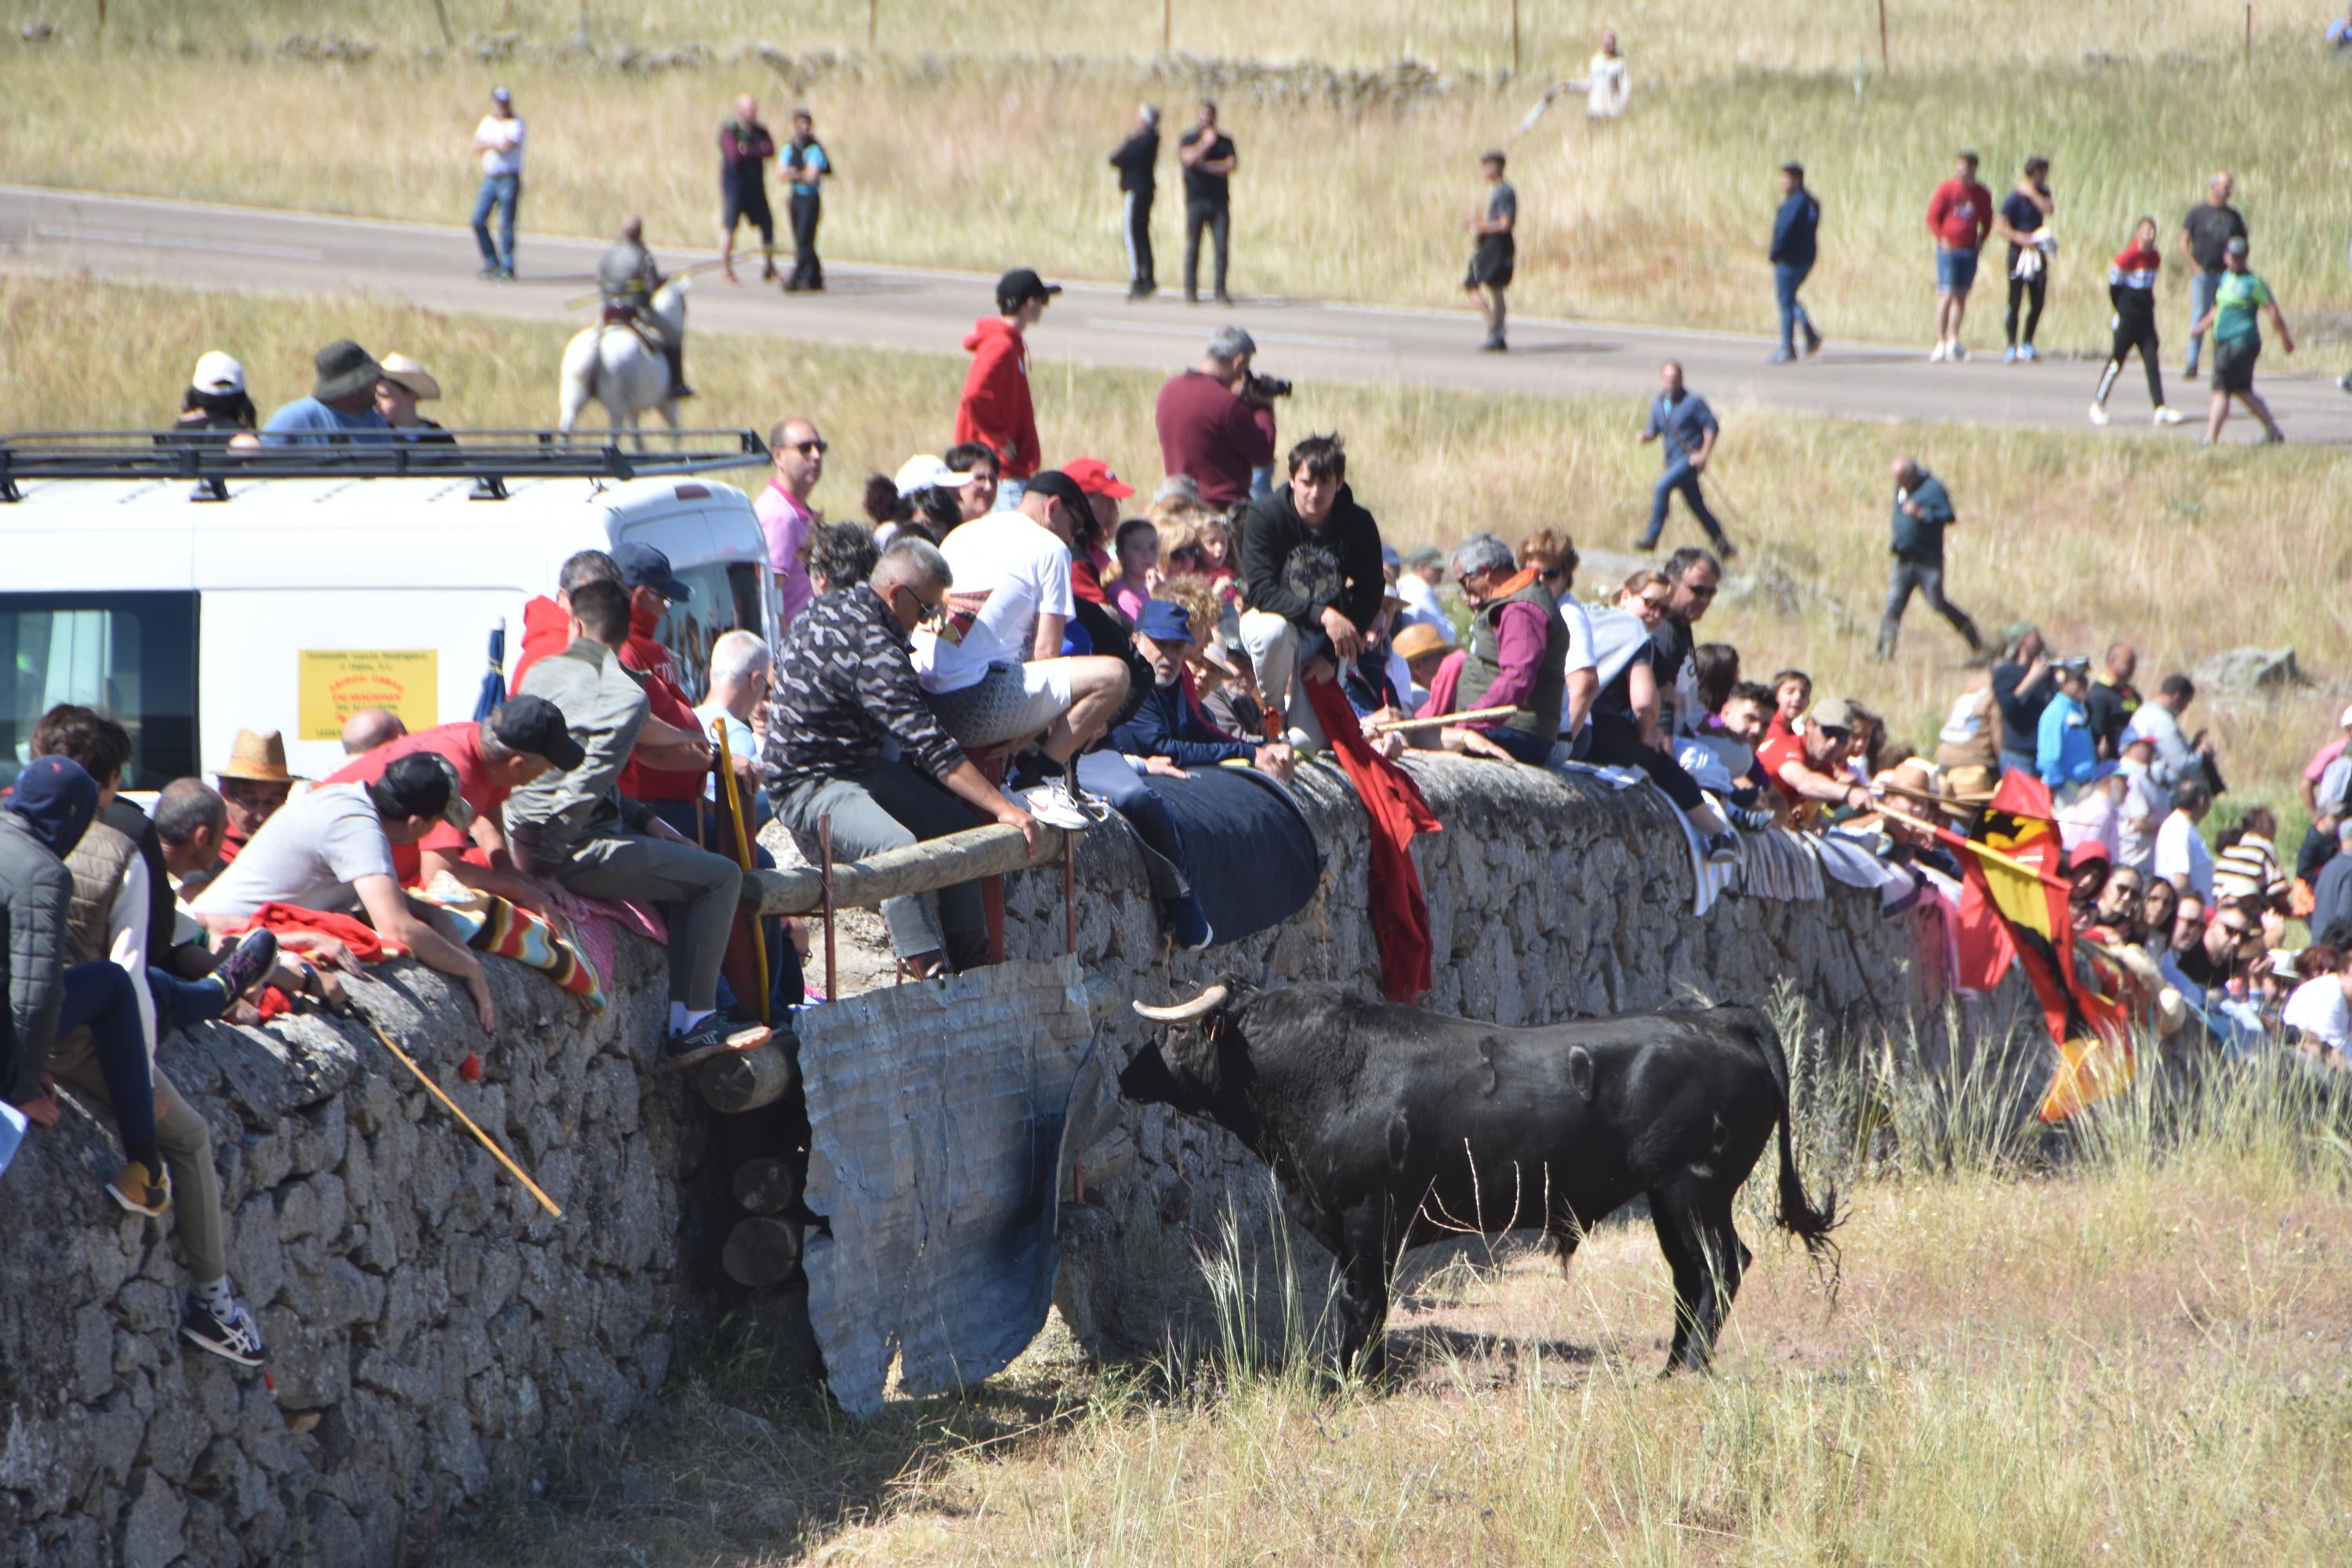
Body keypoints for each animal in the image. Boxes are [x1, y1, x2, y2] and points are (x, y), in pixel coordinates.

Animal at [560, 276, 687, 441]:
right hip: (617, 410)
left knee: (565, 432)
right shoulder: (667, 404)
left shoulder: (633, 409)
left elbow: (637, 438)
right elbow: (675, 434)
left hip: (572, 403)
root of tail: (598, 341)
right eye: (684, 307)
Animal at [1120, 992, 1835, 1373]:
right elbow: (1362, 1302)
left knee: (1721, 1267)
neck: (1322, 1071)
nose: (1126, 1074)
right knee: (1692, 1274)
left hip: (1696, 1189)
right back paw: (1669, 1368)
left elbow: (1362, 1302)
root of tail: (1720, 1020)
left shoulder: (1366, 1219)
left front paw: (1352, 1380)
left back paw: (1687, 1368)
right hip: (1668, 1197)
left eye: (1173, 1036)